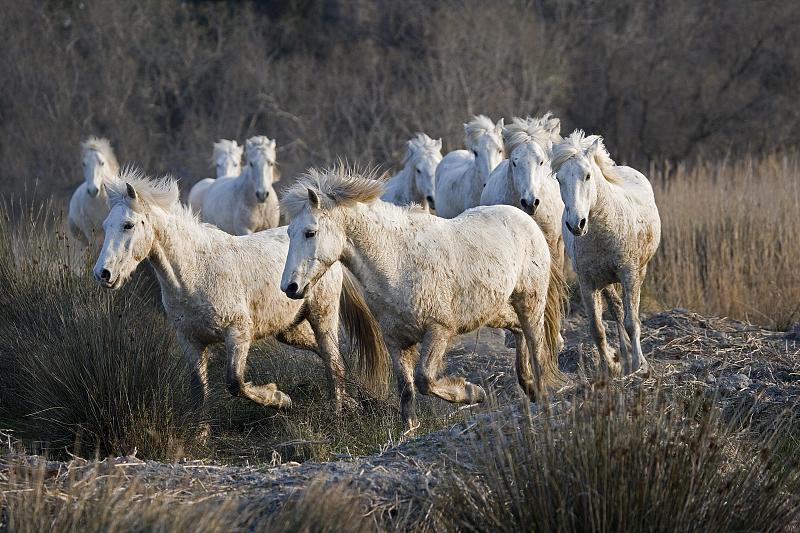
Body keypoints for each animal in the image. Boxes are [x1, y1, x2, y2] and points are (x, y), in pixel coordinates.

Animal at [94, 168, 390, 434]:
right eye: (106, 226)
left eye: (128, 225)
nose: (103, 273)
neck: (195, 271)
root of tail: (335, 256)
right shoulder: (190, 341)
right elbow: (198, 390)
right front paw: (200, 436)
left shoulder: (238, 333)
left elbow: (235, 382)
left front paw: (280, 399)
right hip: (290, 330)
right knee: (331, 357)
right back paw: (353, 401)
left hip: (322, 317)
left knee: (333, 361)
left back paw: (338, 414)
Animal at [282, 166, 568, 432]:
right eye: (289, 232)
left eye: (310, 232)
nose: (289, 287)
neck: (397, 262)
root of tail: (526, 220)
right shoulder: (396, 341)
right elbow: (406, 391)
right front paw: (409, 432)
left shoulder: (438, 331)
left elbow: (425, 380)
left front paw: (473, 393)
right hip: (493, 309)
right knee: (517, 329)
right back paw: (528, 386)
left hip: (529, 300)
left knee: (536, 342)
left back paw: (541, 393)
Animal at [552, 130, 664, 374]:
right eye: (559, 179)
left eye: (587, 176)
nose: (576, 224)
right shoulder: (587, 282)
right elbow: (597, 328)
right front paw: (609, 367)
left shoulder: (629, 274)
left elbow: (632, 322)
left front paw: (640, 366)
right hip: (605, 281)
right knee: (615, 309)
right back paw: (623, 355)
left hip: (639, 271)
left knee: (625, 312)